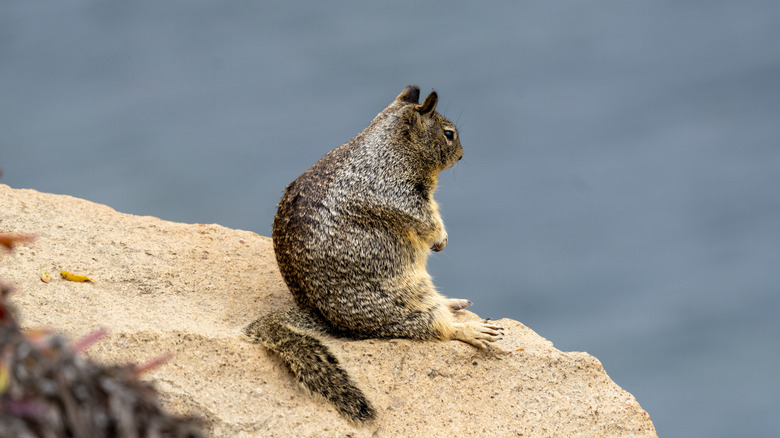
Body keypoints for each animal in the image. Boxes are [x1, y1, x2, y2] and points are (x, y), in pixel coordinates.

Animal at [244, 85, 502, 424]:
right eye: (449, 134)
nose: (461, 155)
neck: (388, 146)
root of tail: (326, 321)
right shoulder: (400, 195)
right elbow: (427, 220)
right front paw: (440, 238)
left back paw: (452, 302)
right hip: (404, 297)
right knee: (432, 327)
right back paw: (472, 329)